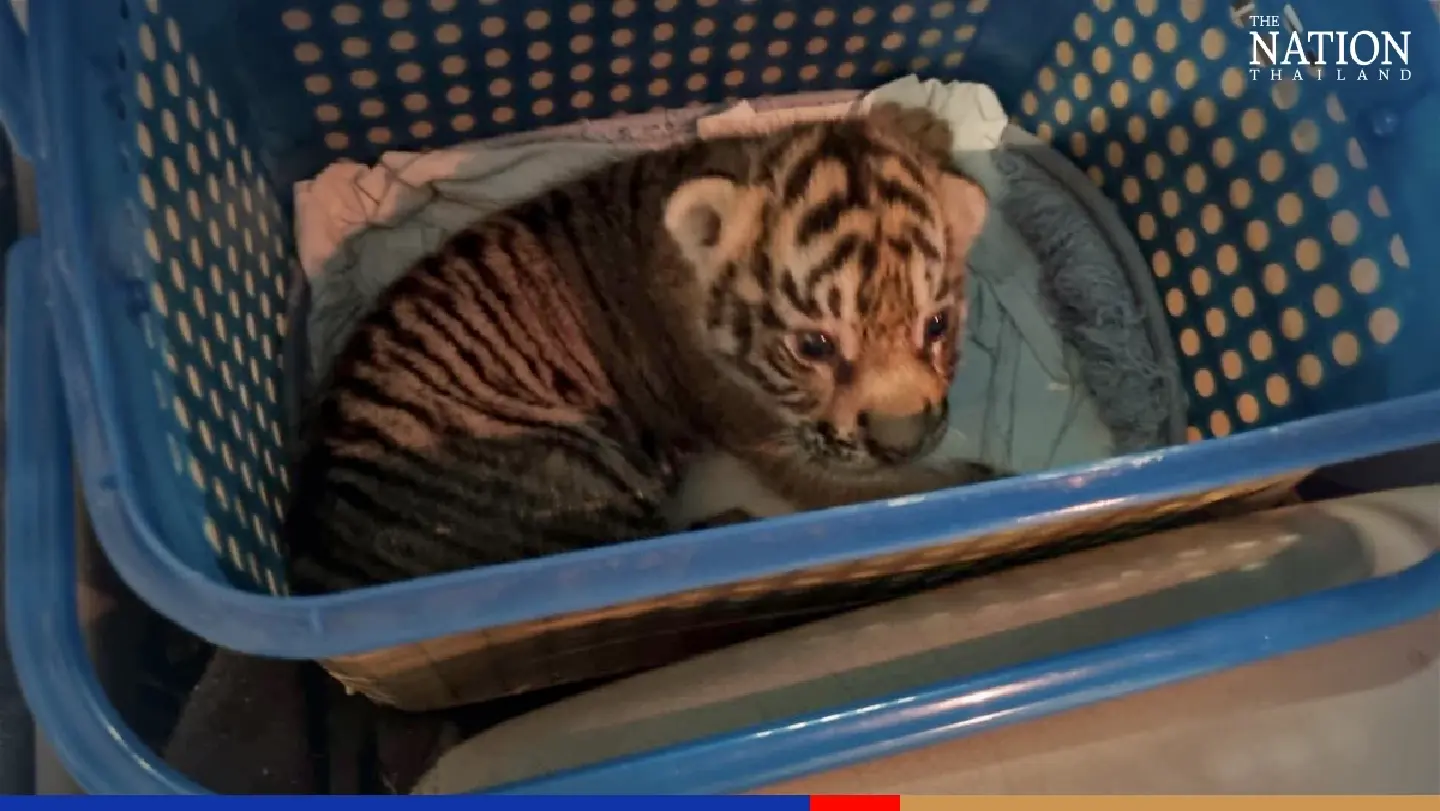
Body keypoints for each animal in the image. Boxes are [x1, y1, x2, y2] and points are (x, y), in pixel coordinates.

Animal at [284, 103, 1000, 594]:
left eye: (936, 327)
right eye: (814, 345)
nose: (904, 442)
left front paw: (918, 124)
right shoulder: (770, 438)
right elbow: (866, 493)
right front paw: (979, 481)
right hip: (569, 464)